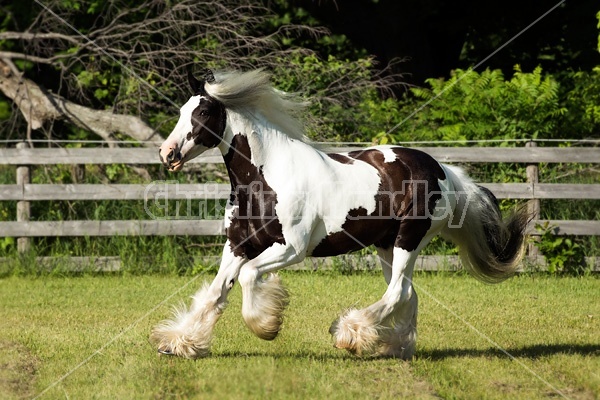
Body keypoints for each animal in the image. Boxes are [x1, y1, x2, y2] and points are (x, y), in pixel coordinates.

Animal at [151, 69, 528, 360]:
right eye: (182, 111)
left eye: (202, 113)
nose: (167, 153)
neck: (266, 177)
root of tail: (443, 171)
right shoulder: (238, 245)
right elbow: (215, 293)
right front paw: (179, 343)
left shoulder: (291, 249)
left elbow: (248, 277)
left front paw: (267, 324)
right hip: (386, 245)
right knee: (407, 294)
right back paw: (392, 347)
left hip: (409, 238)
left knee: (397, 293)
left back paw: (348, 334)